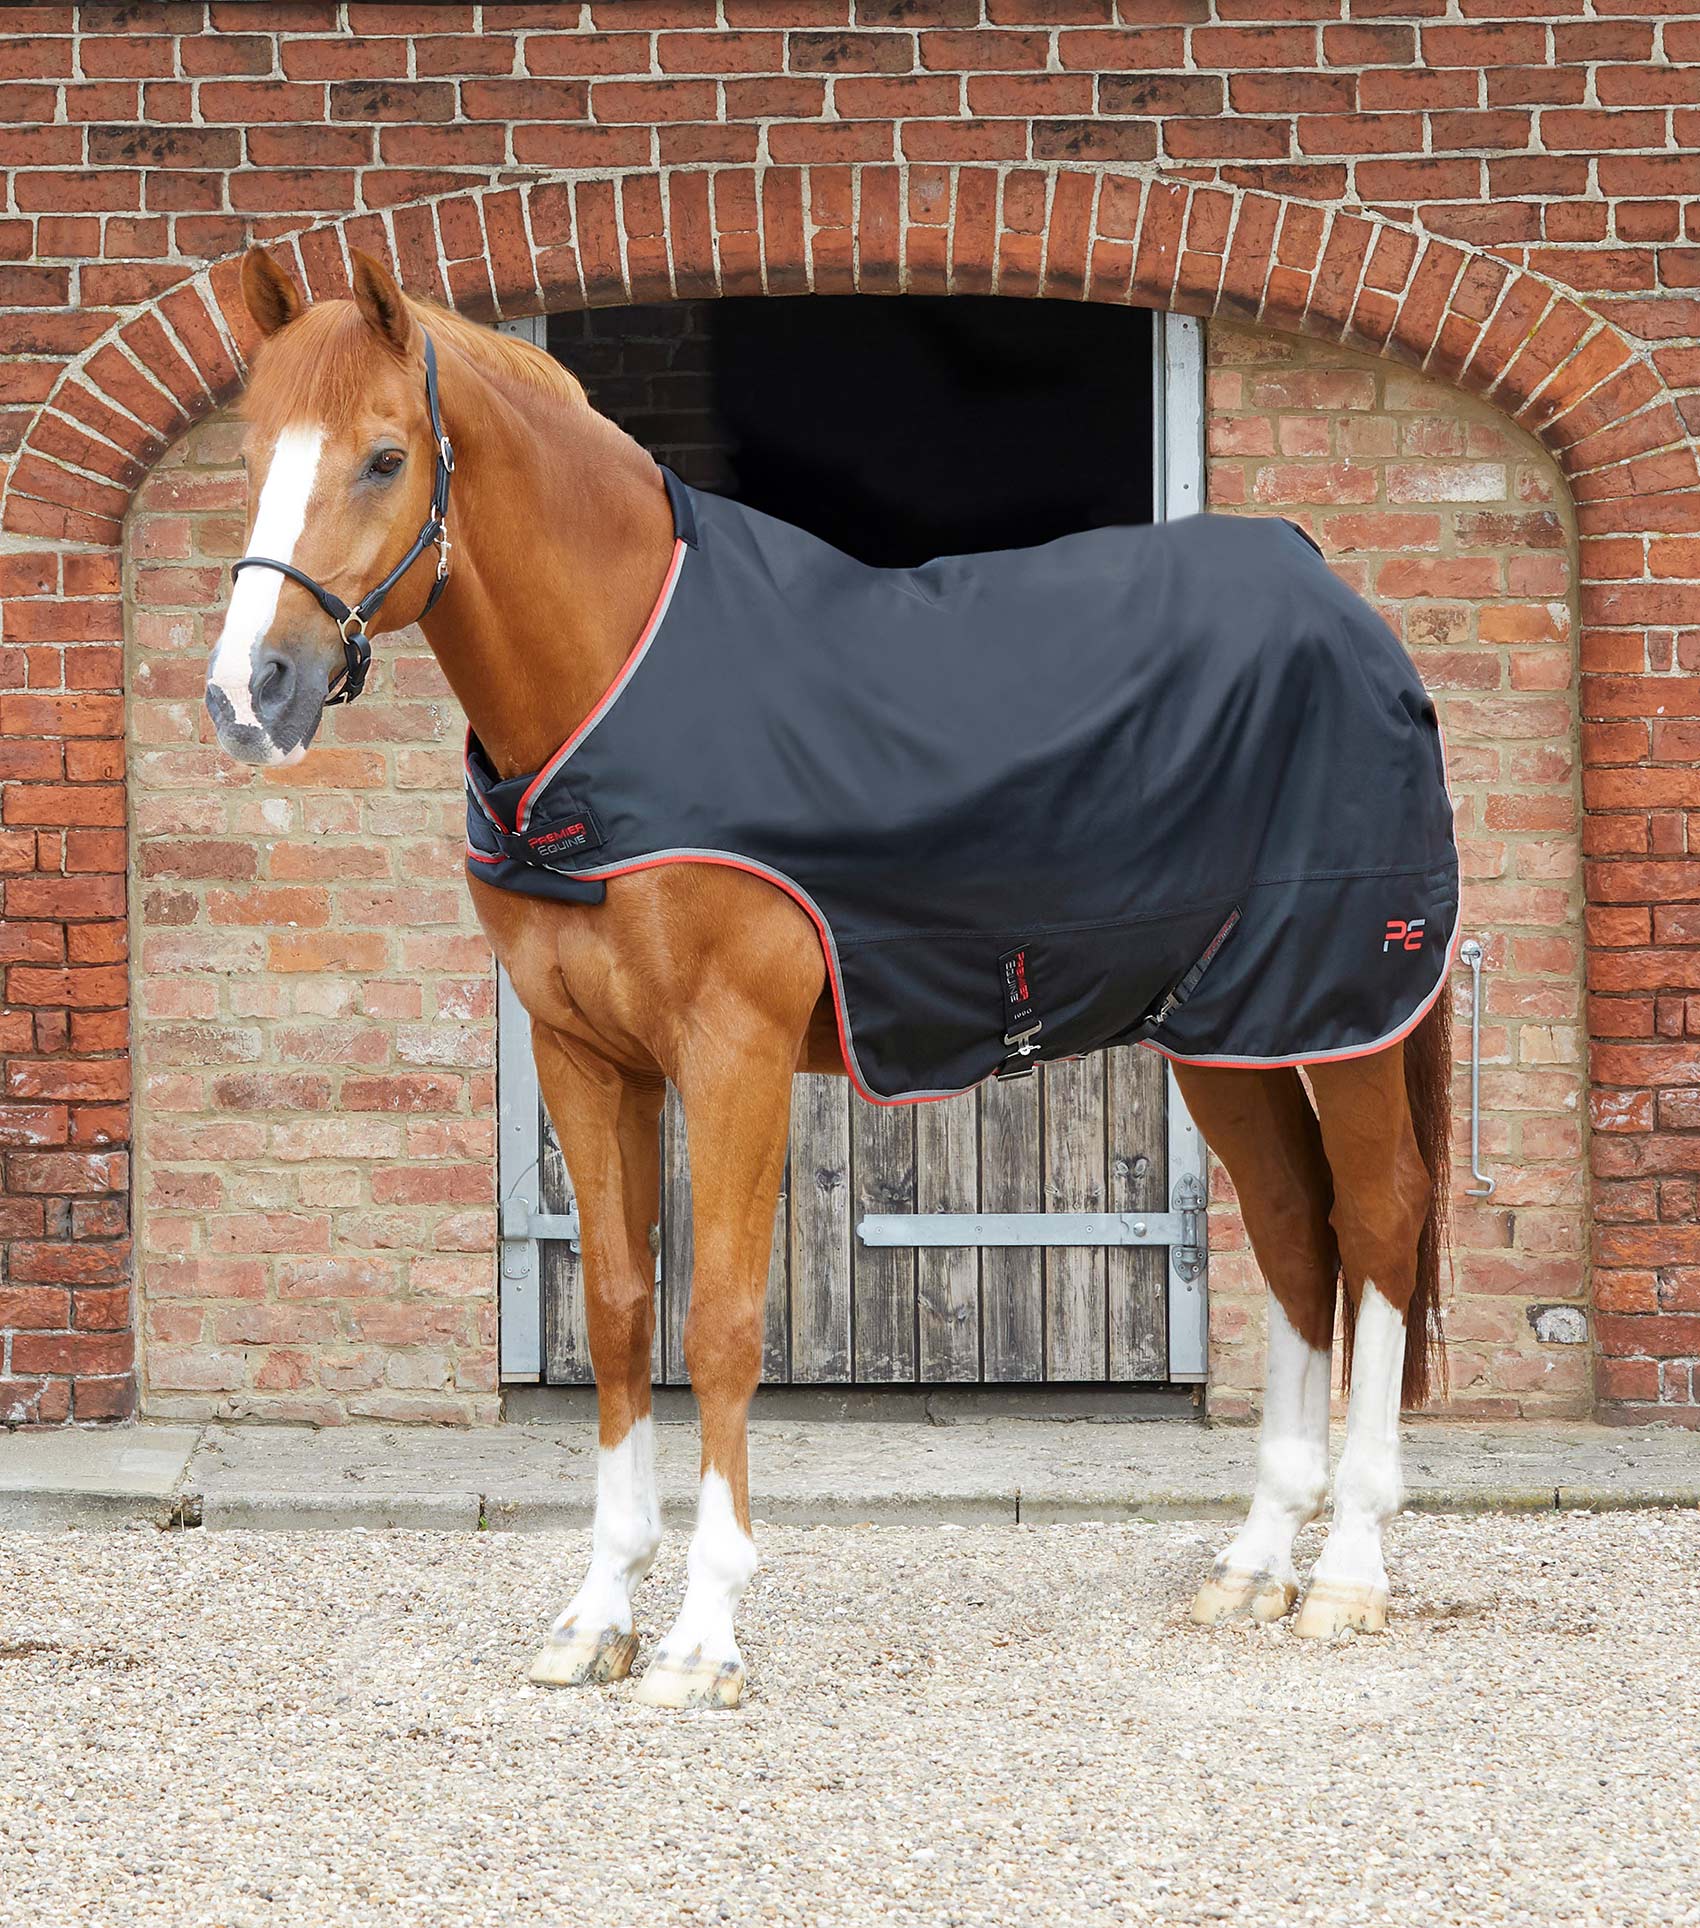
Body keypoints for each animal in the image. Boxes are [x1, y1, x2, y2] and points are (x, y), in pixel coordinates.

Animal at [205, 247, 1451, 1708]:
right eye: (250, 455)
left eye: (386, 456)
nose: (249, 693)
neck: (616, 691)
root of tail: (1339, 604)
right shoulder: (584, 1054)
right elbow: (619, 1313)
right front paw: (597, 1615)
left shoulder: (732, 1050)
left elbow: (721, 1323)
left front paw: (702, 1637)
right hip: (1223, 1030)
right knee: (1298, 1230)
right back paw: (1255, 1565)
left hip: (1345, 1006)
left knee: (1379, 1219)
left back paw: (1348, 1571)